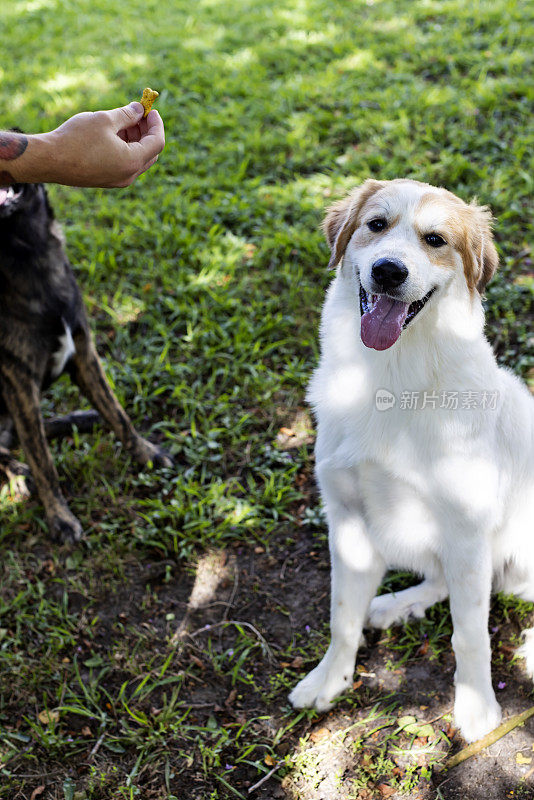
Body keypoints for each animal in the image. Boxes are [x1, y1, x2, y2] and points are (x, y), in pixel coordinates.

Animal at [0, 181, 172, 544]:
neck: (26, 252)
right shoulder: (19, 383)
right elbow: (43, 460)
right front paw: (60, 517)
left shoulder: (84, 354)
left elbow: (117, 414)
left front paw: (146, 453)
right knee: (15, 449)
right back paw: (20, 473)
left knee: (27, 433)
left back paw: (82, 418)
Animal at [292, 180, 534, 744]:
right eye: (376, 225)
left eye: (435, 239)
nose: (388, 271)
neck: (391, 377)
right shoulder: (348, 520)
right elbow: (341, 616)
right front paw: (329, 679)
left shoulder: (467, 530)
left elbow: (470, 635)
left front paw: (476, 707)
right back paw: (396, 604)